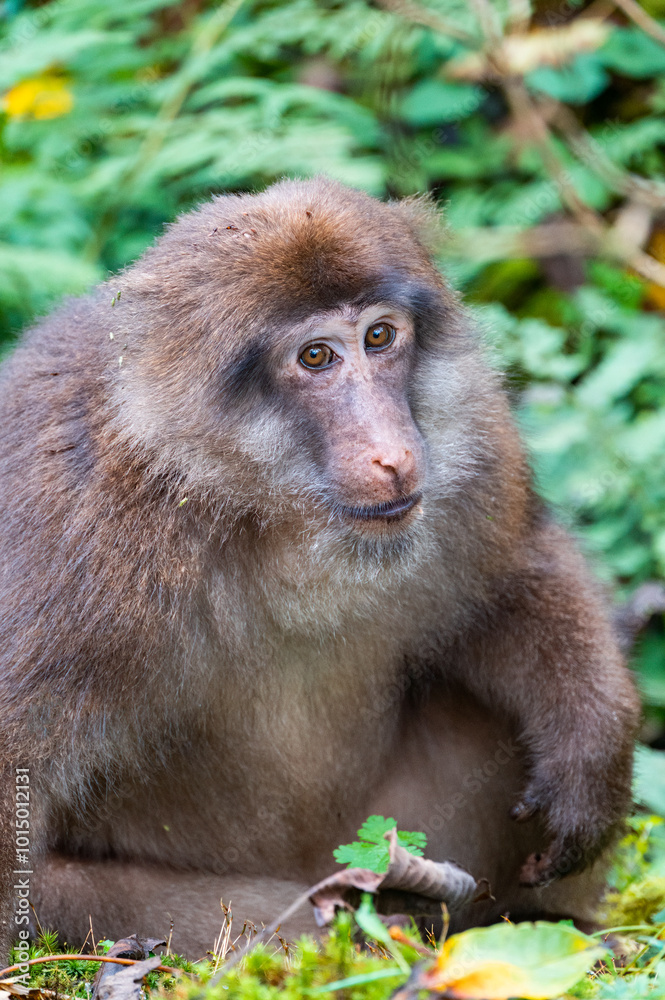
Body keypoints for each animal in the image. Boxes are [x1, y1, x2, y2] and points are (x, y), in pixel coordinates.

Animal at [0, 176, 639, 958]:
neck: (266, 512)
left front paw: (591, 752)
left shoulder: (476, 440)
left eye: (378, 337)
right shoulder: (76, 536)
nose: (392, 453)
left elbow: (514, 577)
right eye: (315, 357)